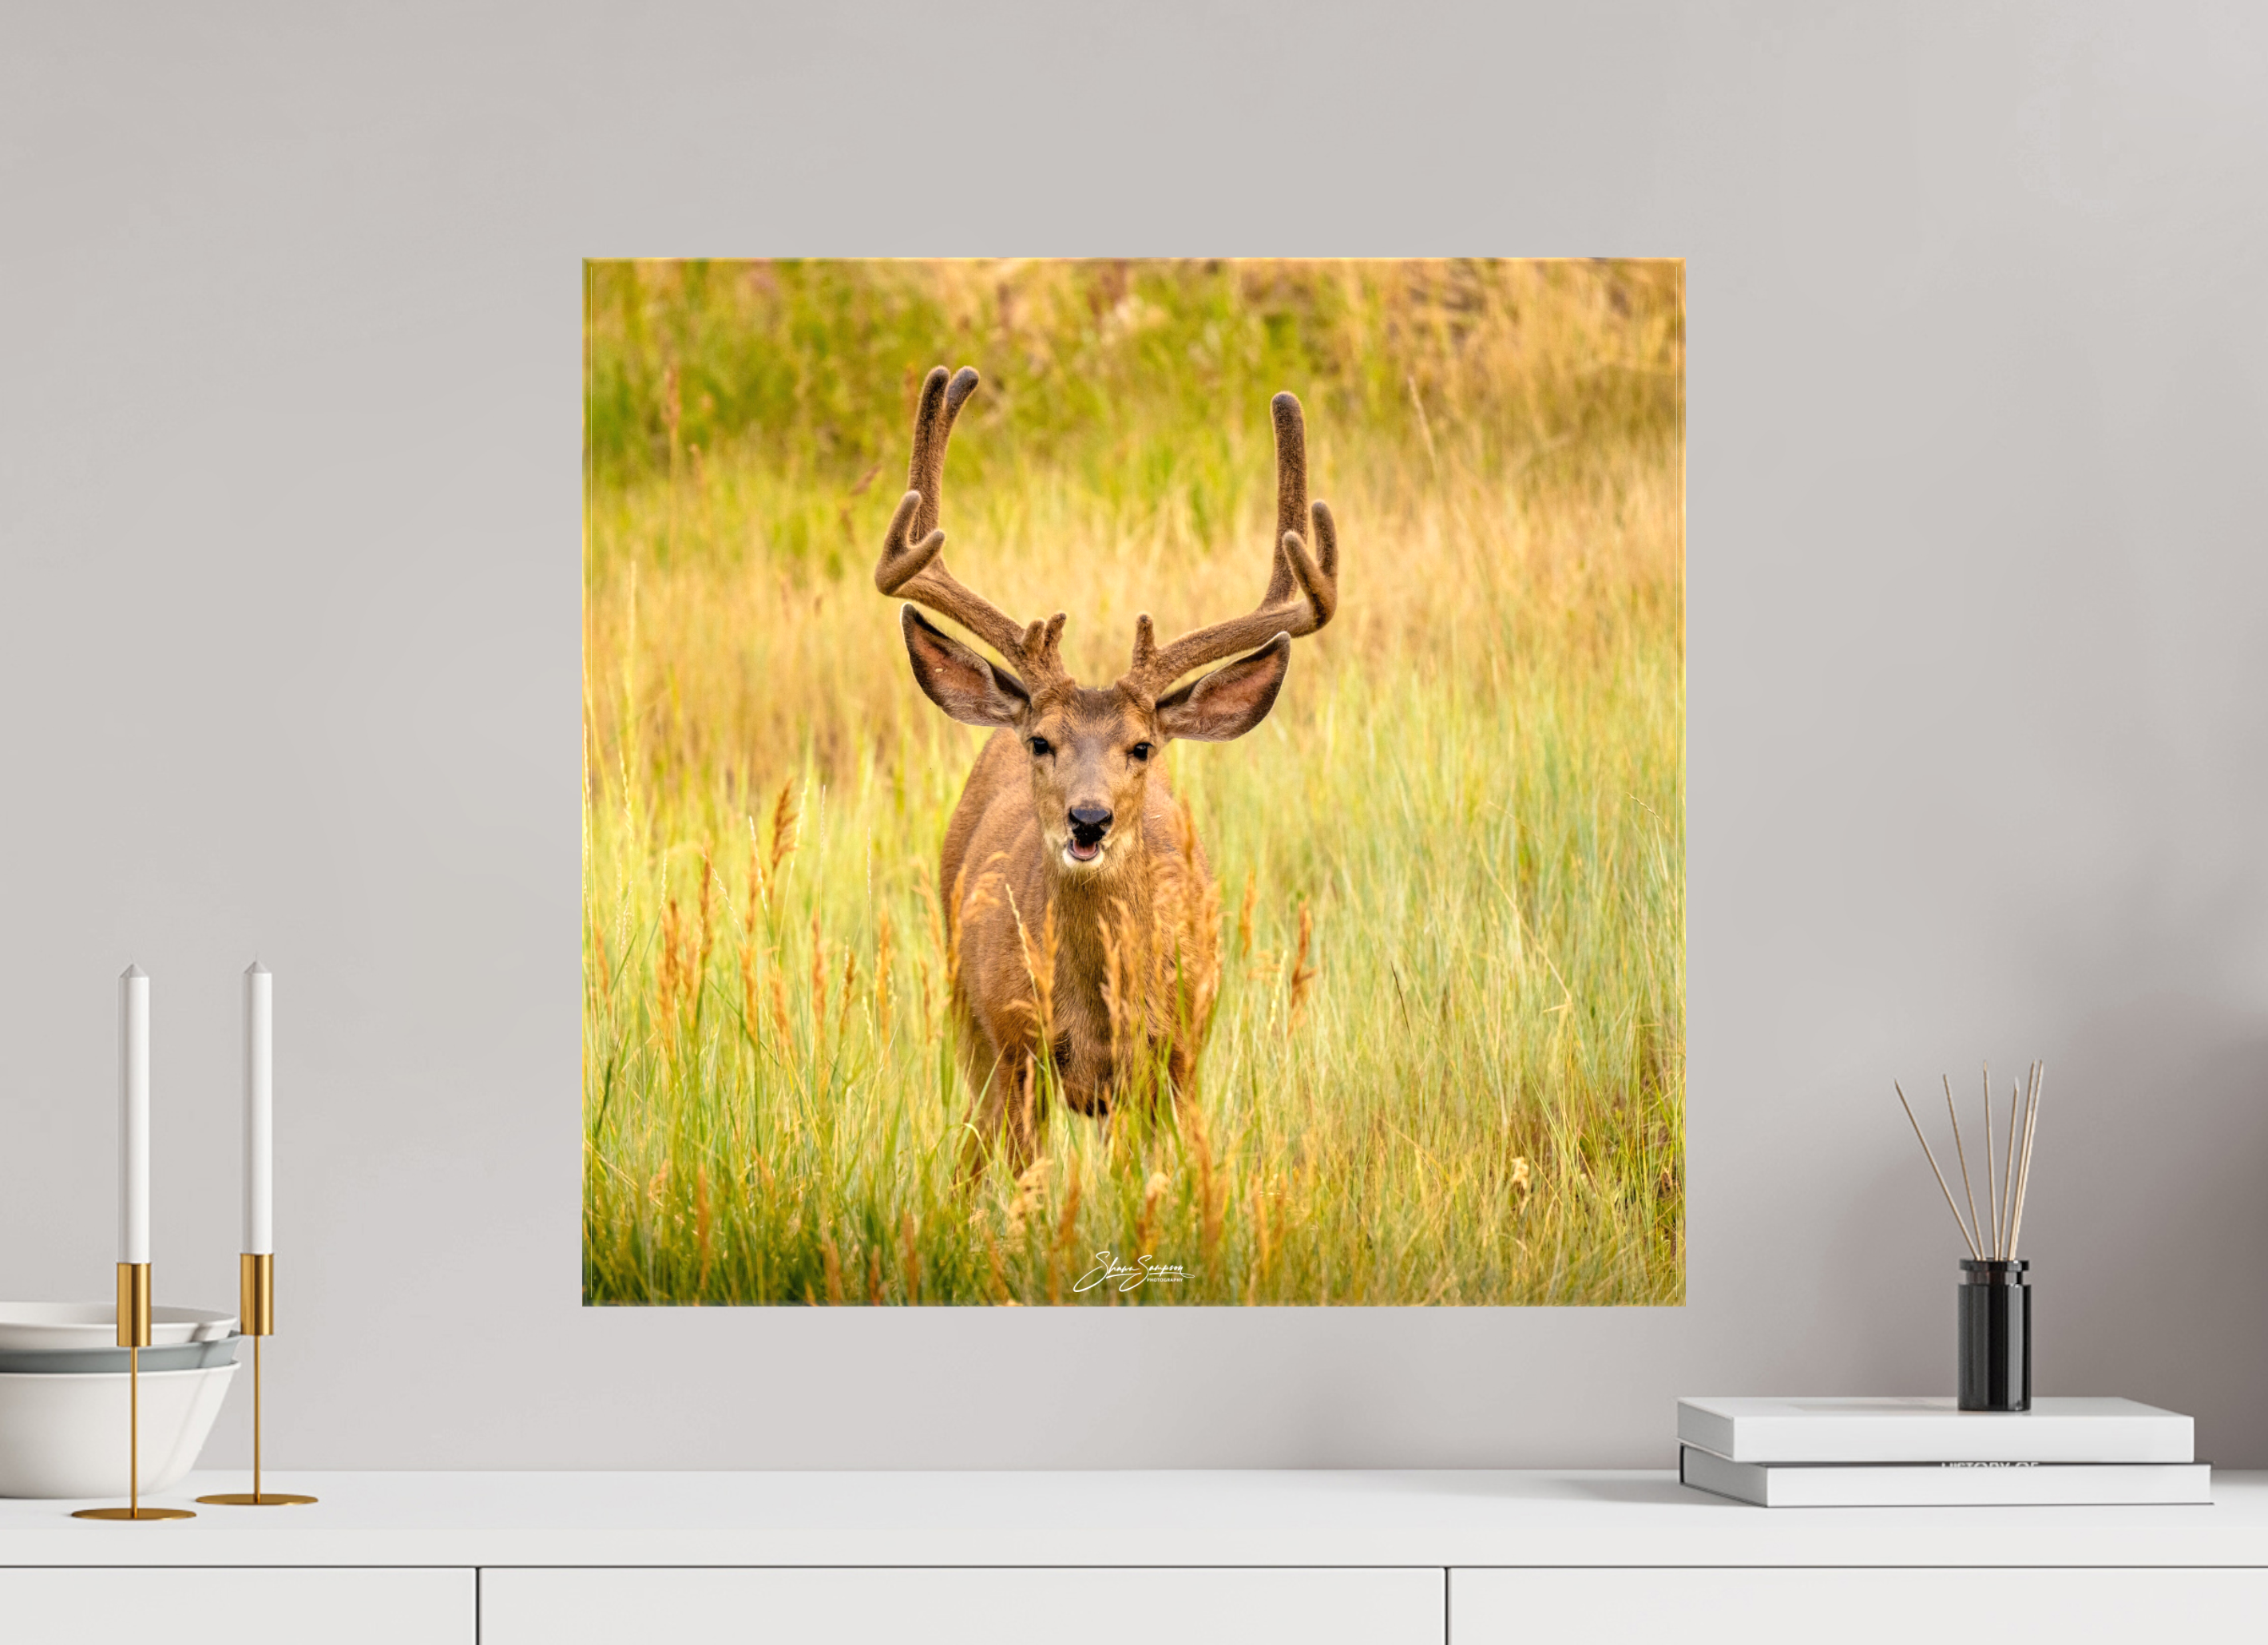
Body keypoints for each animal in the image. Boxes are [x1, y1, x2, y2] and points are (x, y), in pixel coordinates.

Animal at [875, 366, 1341, 1180]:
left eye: (1142, 747)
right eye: (1042, 742)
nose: (1088, 819)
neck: (1096, 1016)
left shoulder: (1178, 1055)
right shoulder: (1015, 1049)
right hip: (965, 1011)